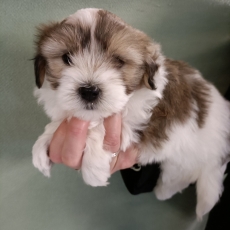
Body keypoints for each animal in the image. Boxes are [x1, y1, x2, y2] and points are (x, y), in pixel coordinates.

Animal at [32, 8, 230, 217]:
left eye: (118, 61)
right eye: (67, 58)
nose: (89, 91)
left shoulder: (148, 116)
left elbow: (102, 127)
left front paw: (93, 169)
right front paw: (44, 141)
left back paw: (163, 191)